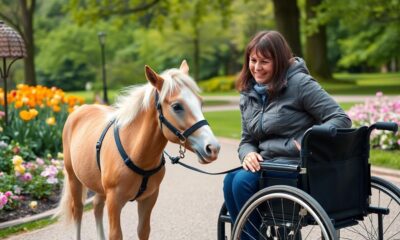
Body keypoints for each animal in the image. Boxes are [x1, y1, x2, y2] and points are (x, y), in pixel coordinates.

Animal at [54, 61, 220, 239]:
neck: (135, 151)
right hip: (74, 178)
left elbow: (143, 230)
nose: (213, 148)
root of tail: (78, 111)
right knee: (77, 211)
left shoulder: (149, 198)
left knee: (97, 206)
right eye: (177, 106)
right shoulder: (114, 201)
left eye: (200, 103)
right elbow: (116, 234)